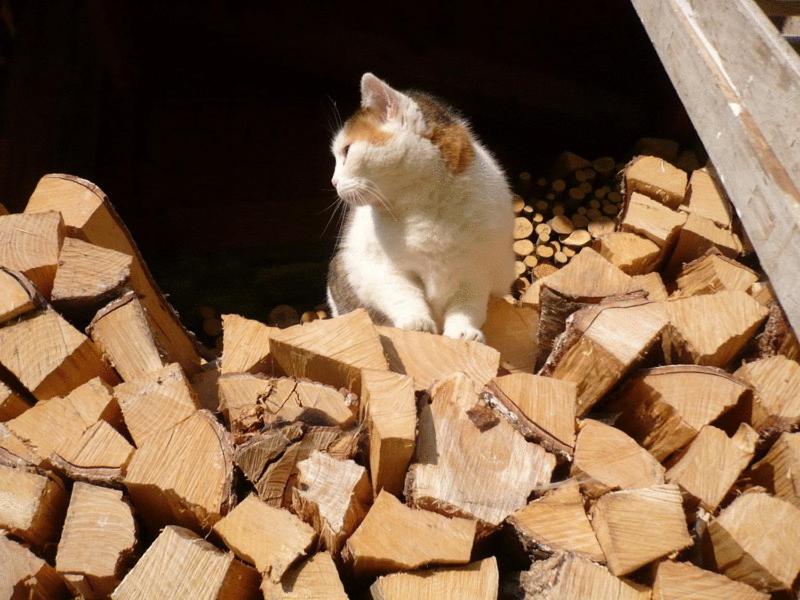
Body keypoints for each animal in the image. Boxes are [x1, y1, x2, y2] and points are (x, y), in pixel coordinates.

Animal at [326, 73, 514, 342]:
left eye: (347, 150)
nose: (334, 181)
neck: (424, 205)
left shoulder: (475, 272)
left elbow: (467, 306)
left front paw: (463, 333)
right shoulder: (380, 267)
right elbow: (404, 294)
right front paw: (417, 323)